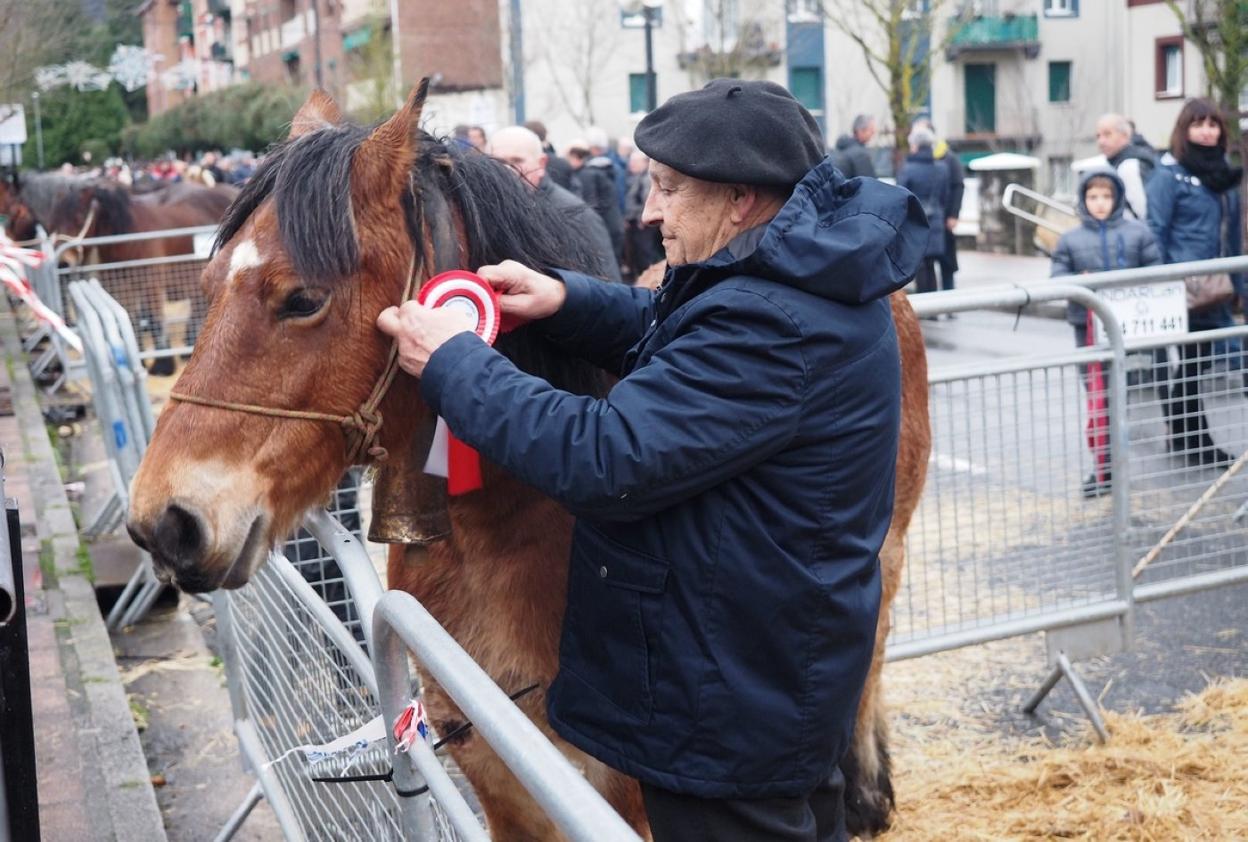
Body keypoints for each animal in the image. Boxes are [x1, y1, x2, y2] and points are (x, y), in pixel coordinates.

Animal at [45, 180, 238, 375]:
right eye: (53, 222)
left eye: (78, 218)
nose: (62, 263)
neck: (129, 240)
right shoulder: (122, 285)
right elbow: (129, 318)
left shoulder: (151, 283)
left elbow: (154, 319)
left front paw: (163, 364)